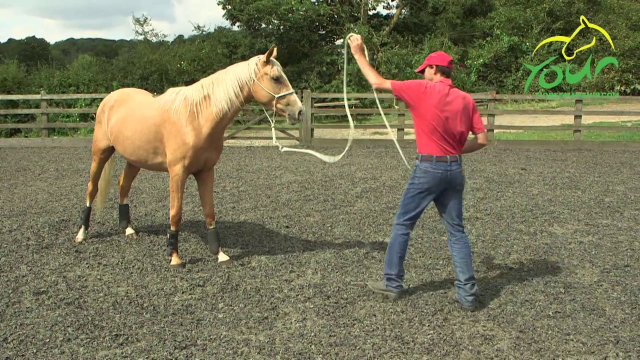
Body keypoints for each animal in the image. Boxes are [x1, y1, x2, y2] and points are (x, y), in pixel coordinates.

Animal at [74, 47, 304, 268]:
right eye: (276, 78)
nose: (299, 111)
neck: (196, 119)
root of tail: (110, 98)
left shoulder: (206, 171)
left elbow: (209, 211)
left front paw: (219, 254)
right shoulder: (178, 173)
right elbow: (176, 213)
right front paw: (174, 257)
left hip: (135, 160)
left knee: (124, 184)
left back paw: (128, 229)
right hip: (100, 153)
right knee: (91, 188)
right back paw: (82, 233)